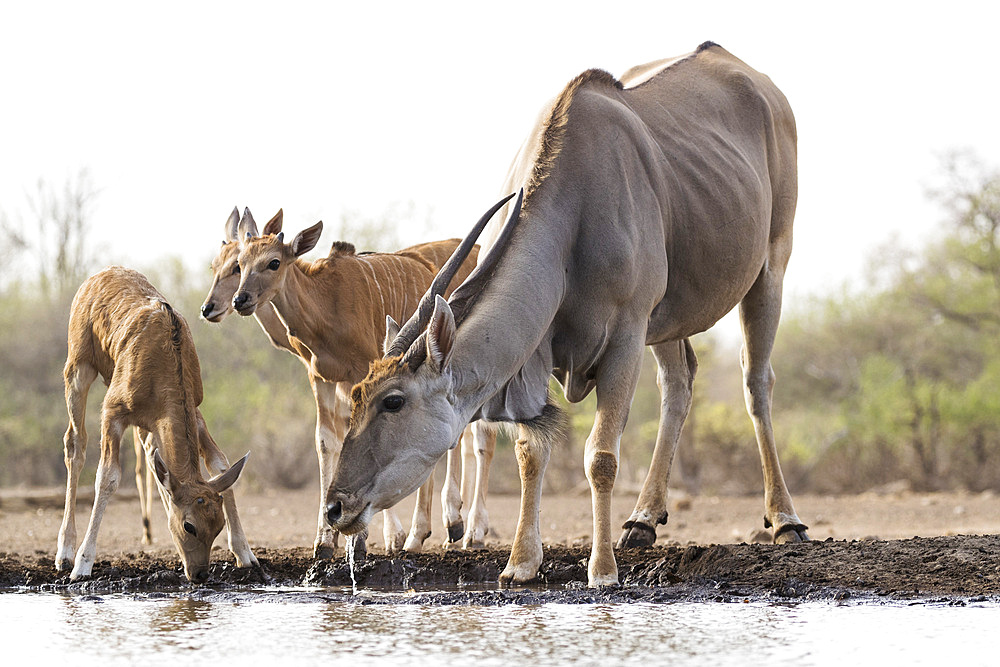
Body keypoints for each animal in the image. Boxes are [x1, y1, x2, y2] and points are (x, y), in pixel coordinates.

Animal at [56, 268, 256, 580]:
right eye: (189, 526)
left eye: (218, 526)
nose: (200, 574)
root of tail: (93, 278)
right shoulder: (112, 411)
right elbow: (108, 476)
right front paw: (83, 563)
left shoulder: (193, 410)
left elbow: (219, 463)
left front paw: (246, 554)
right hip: (78, 368)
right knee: (74, 444)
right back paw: (64, 553)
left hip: (144, 424)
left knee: (151, 455)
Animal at [328, 41, 812, 588]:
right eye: (356, 396)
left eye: (393, 401)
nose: (335, 507)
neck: (571, 206)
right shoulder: (538, 349)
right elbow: (530, 451)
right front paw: (521, 563)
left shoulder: (626, 335)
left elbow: (600, 456)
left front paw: (601, 570)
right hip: (668, 318)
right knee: (680, 383)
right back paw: (643, 521)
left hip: (770, 268)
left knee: (756, 382)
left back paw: (786, 521)